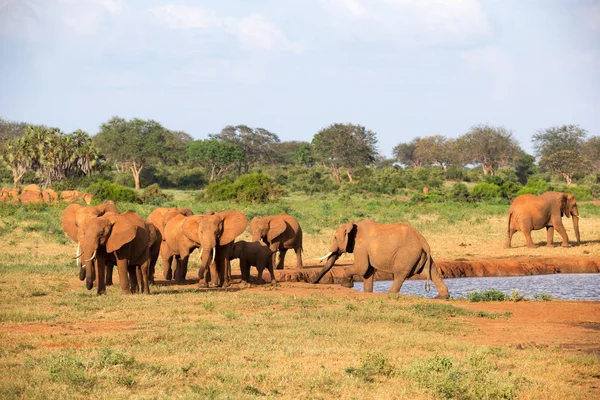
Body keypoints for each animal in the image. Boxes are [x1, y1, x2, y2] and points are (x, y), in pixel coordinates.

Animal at [312, 220, 448, 298]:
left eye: (335, 237)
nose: (313, 282)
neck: (353, 225)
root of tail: (424, 242)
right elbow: (367, 272)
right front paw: (368, 292)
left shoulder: (361, 246)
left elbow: (362, 268)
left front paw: (346, 285)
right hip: (419, 255)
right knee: (431, 272)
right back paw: (443, 297)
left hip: (407, 254)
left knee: (400, 274)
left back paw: (390, 294)